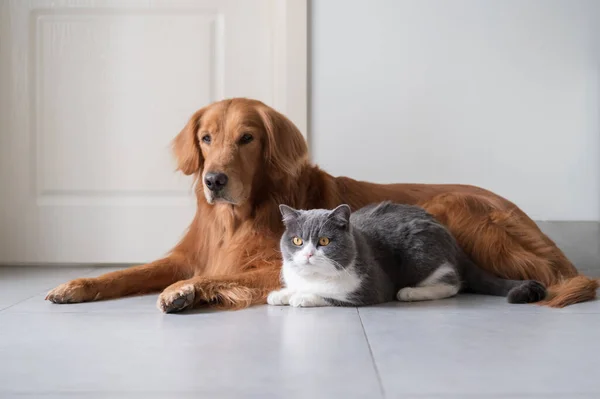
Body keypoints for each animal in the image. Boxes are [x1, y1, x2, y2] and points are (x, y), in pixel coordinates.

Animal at [264, 203, 548, 310]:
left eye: (324, 241)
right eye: (297, 241)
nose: (308, 253)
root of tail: (453, 240)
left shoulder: (371, 288)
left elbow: (329, 295)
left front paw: (302, 297)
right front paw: (280, 294)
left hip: (422, 256)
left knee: (452, 284)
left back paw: (410, 292)